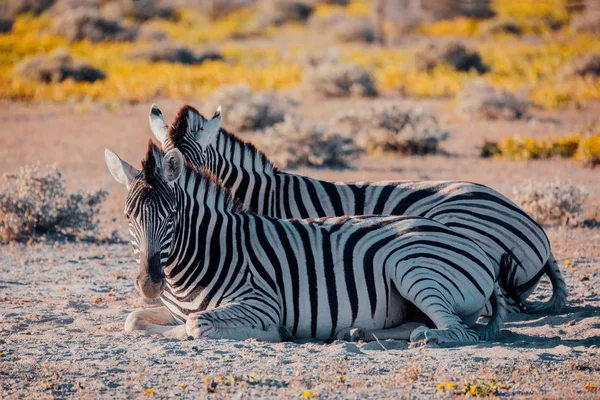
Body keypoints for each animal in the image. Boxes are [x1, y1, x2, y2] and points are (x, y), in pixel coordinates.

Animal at [104, 143, 506, 344]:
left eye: (171, 217)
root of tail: (476, 247)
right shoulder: (172, 309)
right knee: (417, 324)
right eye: (127, 217)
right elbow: (134, 320)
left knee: (458, 331)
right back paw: (358, 332)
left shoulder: (261, 302)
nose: (149, 284)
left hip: (412, 267)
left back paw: (429, 337)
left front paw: (275, 333)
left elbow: (195, 325)